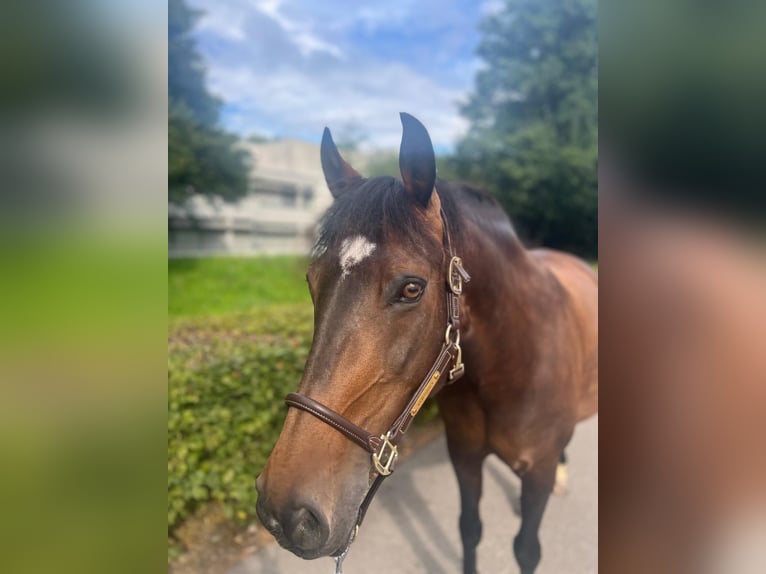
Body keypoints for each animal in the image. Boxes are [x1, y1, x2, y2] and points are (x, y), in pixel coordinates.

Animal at [255, 115, 596, 574]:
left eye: (411, 289)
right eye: (312, 282)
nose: (287, 512)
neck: (512, 365)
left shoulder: (535, 473)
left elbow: (526, 549)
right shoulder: (464, 456)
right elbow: (469, 529)